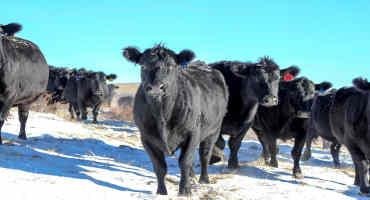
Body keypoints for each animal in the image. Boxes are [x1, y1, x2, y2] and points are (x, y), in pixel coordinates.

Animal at [123, 45, 228, 195]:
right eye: (143, 65)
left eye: (171, 66)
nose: (156, 87)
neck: (162, 114)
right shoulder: (146, 138)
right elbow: (159, 166)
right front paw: (161, 192)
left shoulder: (193, 133)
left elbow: (184, 161)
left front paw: (185, 190)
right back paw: (192, 177)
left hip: (214, 130)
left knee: (204, 155)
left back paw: (204, 179)